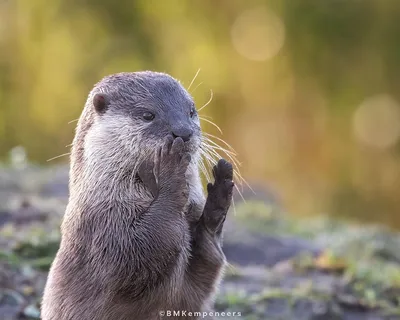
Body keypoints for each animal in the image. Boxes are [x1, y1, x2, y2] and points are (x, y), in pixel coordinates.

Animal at [40, 71, 234, 318]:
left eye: (191, 111)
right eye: (148, 115)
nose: (183, 132)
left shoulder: (190, 293)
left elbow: (208, 262)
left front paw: (220, 194)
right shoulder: (104, 227)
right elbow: (141, 252)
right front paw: (171, 171)